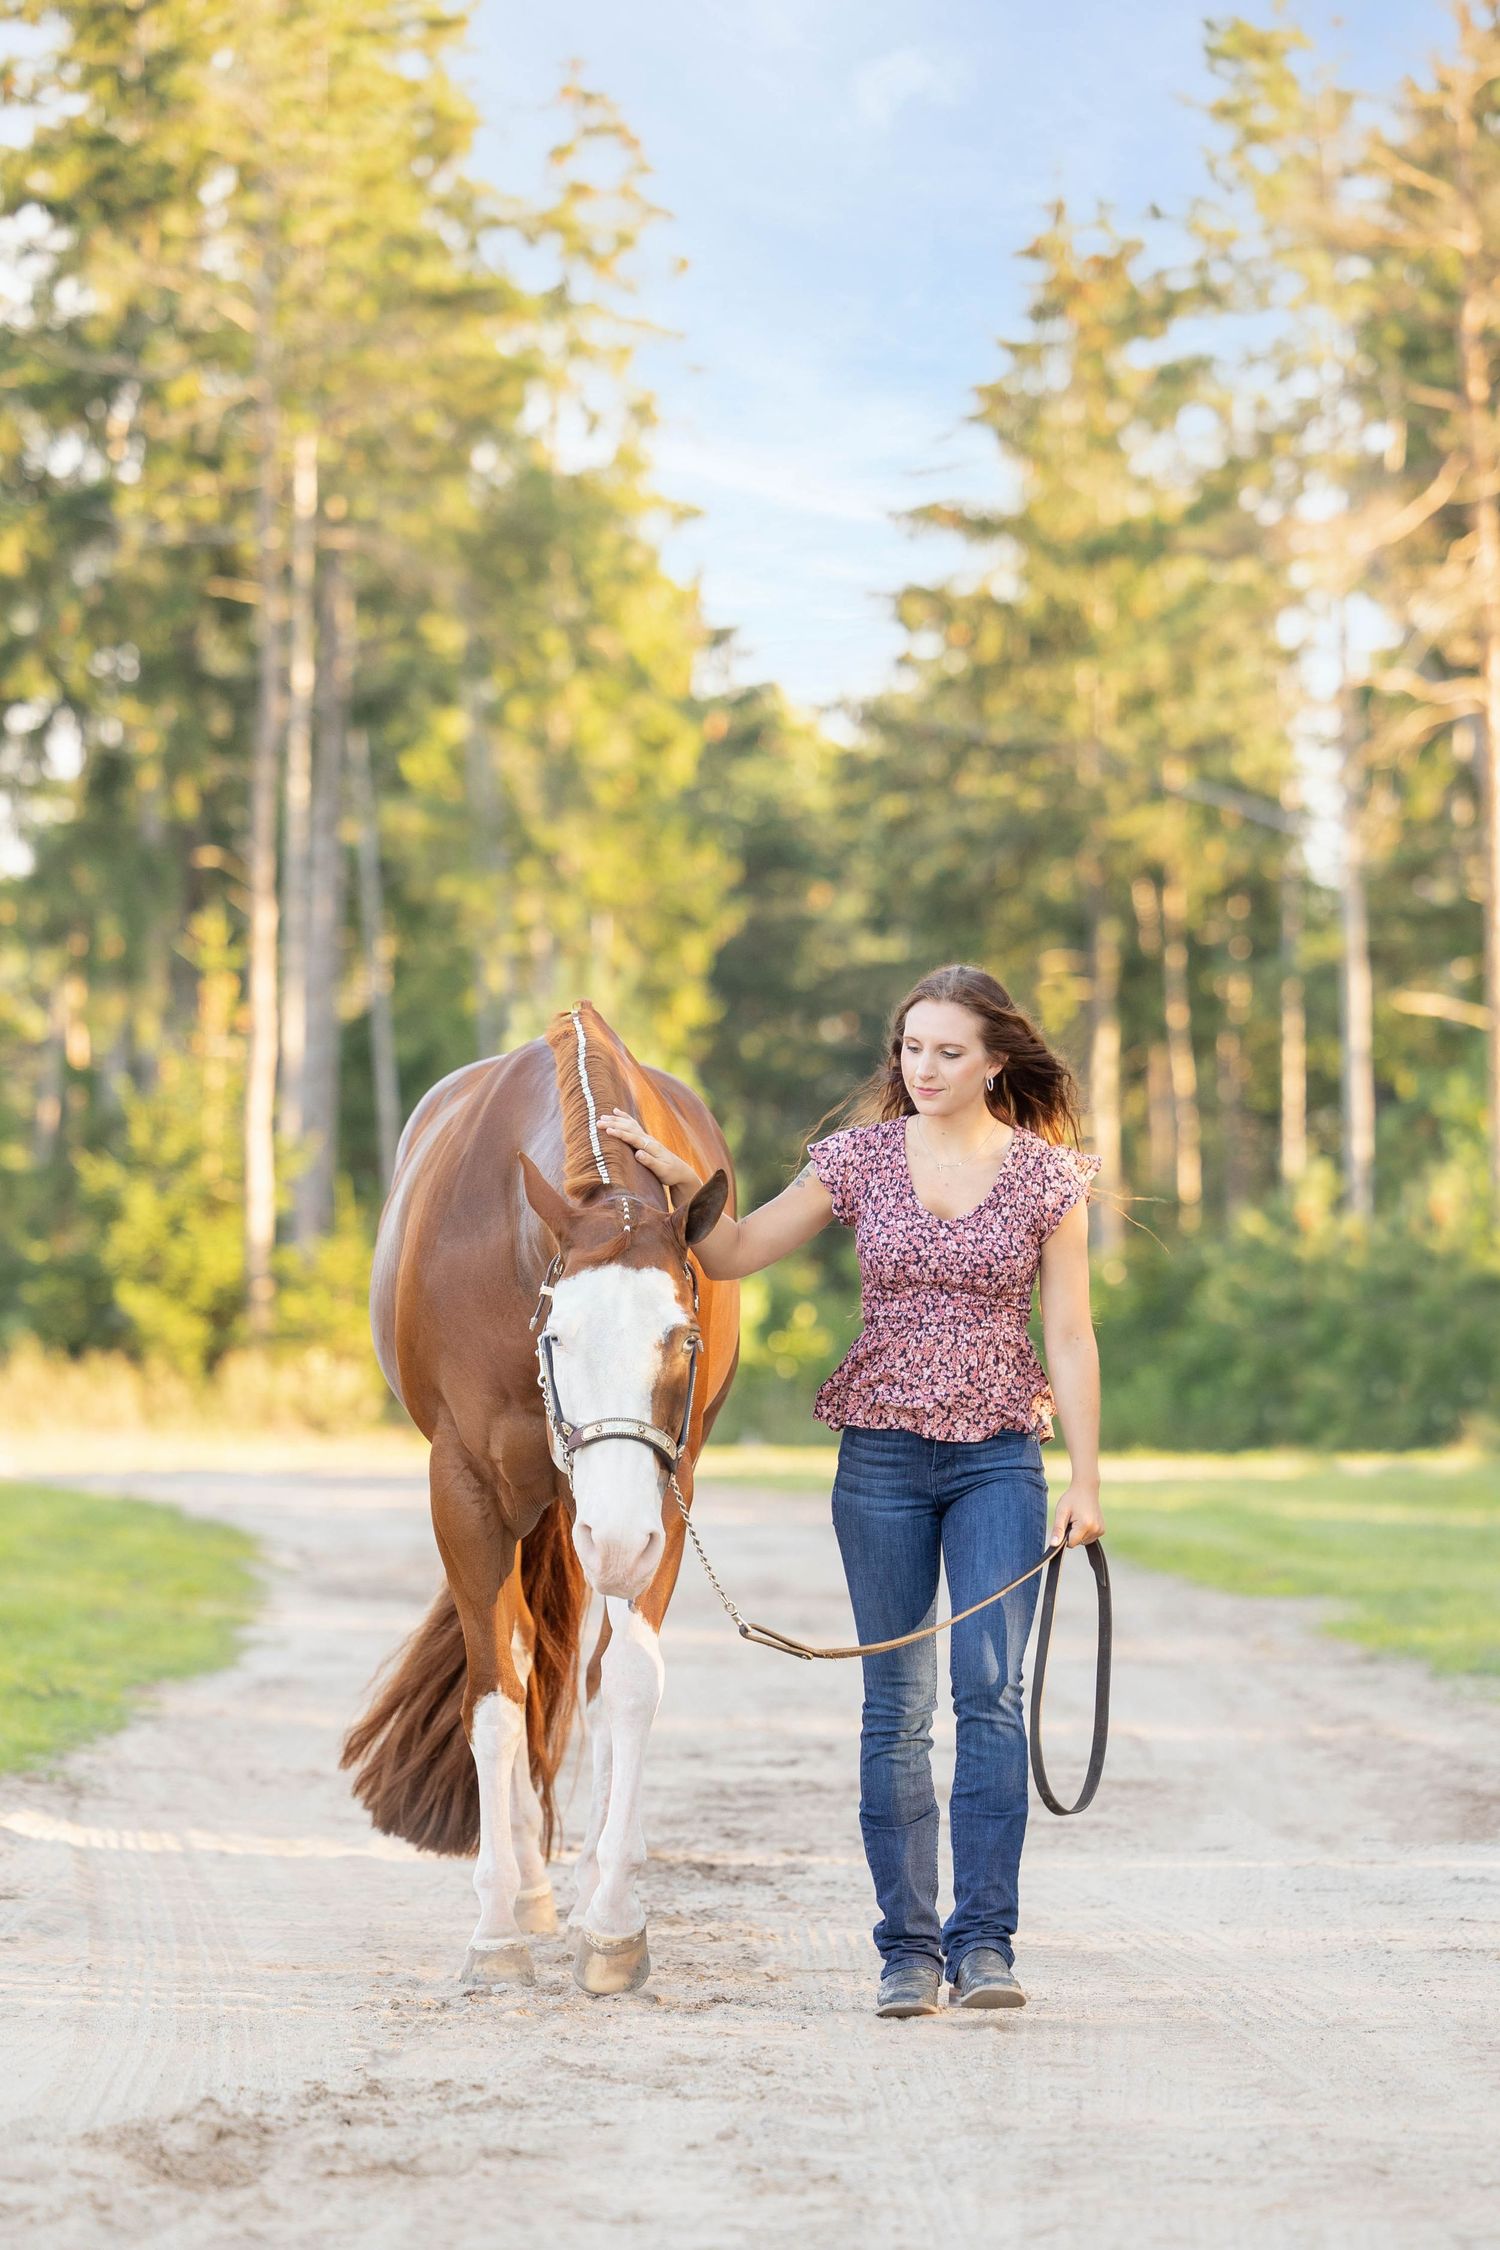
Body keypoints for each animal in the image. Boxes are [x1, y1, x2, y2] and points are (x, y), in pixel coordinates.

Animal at [341, 998, 740, 1995]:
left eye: (683, 1338)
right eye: (557, 1336)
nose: (619, 1539)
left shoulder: (663, 1496)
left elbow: (626, 1685)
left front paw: (614, 1922)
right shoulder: (466, 1490)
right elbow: (496, 1693)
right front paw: (496, 1929)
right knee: (520, 1659)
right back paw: (524, 1884)